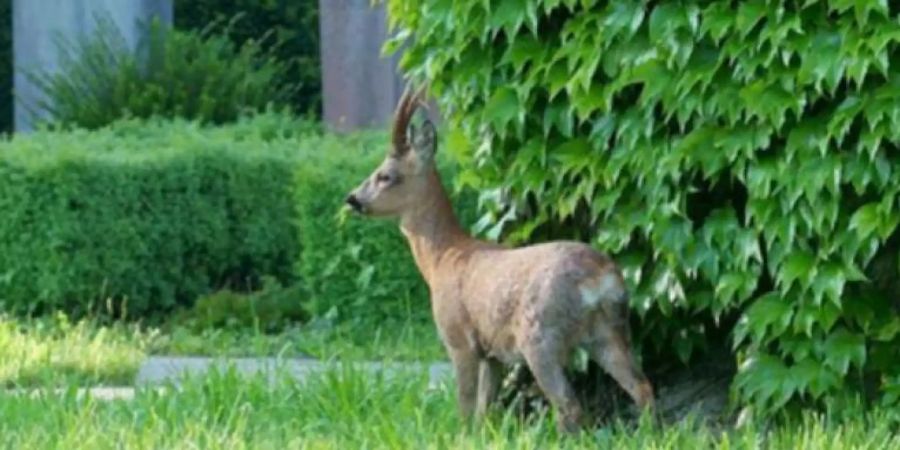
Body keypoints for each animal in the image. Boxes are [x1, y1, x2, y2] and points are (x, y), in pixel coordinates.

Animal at [344, 89, 652, 432]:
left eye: (386, 176)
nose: (352, 199)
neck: (442, 258)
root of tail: (601, 279)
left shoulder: (459, 338)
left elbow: (465, 407)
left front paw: (460, 436)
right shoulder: (491, 352)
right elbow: (484, 410)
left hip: (540, 336)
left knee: (569, 406)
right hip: (610, 329)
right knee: (642, 387)